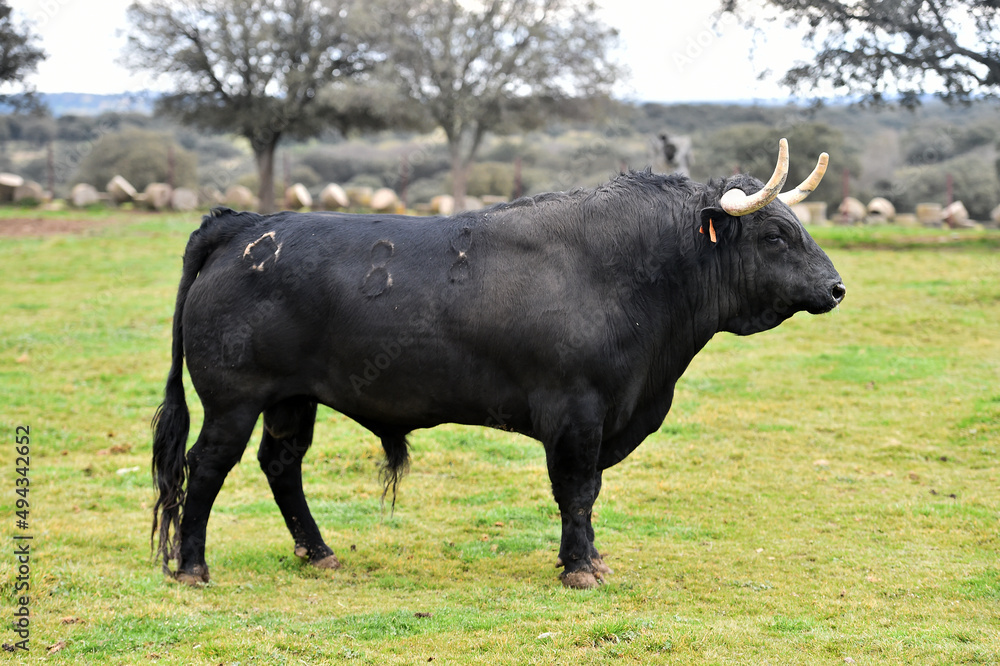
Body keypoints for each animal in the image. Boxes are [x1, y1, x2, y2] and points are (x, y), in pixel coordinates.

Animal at [151, 138, 844, 589]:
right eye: (775, 235)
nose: (836, 288)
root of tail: (244, 225)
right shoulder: (575, 412)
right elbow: (577, 489)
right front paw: (580, 568)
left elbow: (587, 491)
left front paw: (587, 560)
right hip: (234, 400)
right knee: (206, 466)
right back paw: (192, 567)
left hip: (292, 399)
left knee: (281, 464)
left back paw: (317, 551)